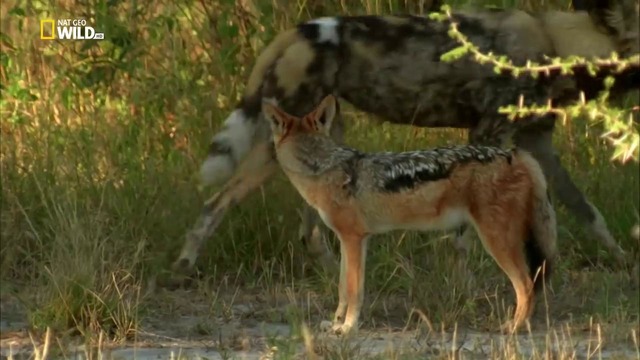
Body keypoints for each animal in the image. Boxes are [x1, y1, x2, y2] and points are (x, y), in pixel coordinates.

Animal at [172, 0, 636, 276]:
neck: (558, 46)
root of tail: (299, 31)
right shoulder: (486, 134)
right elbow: (464, 231)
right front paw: (464, 277)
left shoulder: (537, 142)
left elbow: (586, 211)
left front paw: (619, 260)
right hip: (278, 145)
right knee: (214, 204)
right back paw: (184, 267)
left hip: (322, 136)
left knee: (310, 229)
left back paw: (335, 271)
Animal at [262, 94, 556, 334]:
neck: (321, 168)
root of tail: (515, 154)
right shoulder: (352, 241)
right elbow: (343, 288)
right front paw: (335, 324)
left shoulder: (353, 239)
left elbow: (355, 291)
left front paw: (347, 328)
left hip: (497, 242)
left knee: (526, 286)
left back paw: (514, 328)